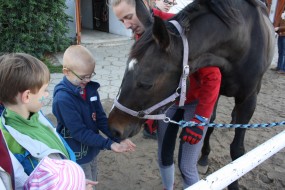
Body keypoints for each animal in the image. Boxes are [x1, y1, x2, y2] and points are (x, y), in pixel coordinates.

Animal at [107, 0, 276, 189]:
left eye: (146, 83)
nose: (113, 129)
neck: (243, 41)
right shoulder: (217, 88)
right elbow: (210, 122)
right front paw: (203, 157)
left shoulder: (248, 99)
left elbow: (238, 152)